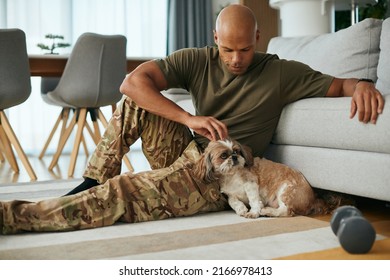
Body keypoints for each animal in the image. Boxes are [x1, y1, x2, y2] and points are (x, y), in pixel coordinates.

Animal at [192, 139, 342, 218]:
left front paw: (253, 212)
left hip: (286, 190)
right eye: (223, 155)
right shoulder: (230, 195)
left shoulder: (251, 184)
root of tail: (313, 199)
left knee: (286, 210)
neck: (231, 176)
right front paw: (241, 209)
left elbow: (253, 200)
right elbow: (233, 202)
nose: (234, 157)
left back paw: (267, 211)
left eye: (237, 151)